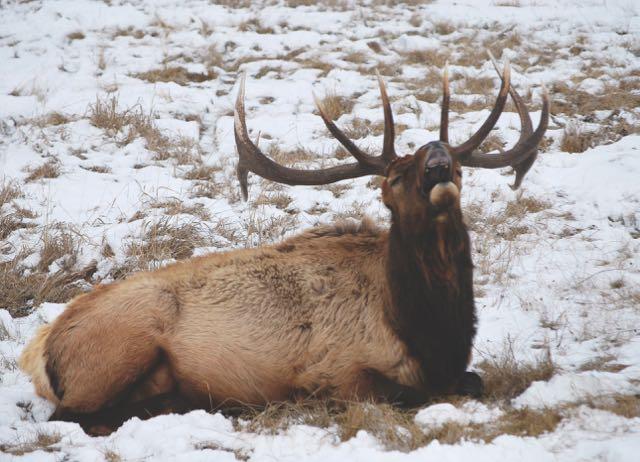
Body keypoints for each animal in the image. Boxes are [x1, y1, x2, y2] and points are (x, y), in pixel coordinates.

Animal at [21, 56, 552, 434]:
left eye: (459, 168)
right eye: (396, 177)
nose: (439, 160)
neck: (427, 329)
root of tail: (40, 350)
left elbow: (474, 380)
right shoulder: (337, 372)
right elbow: (403, 393)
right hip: (122, 345)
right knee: (72, 418)